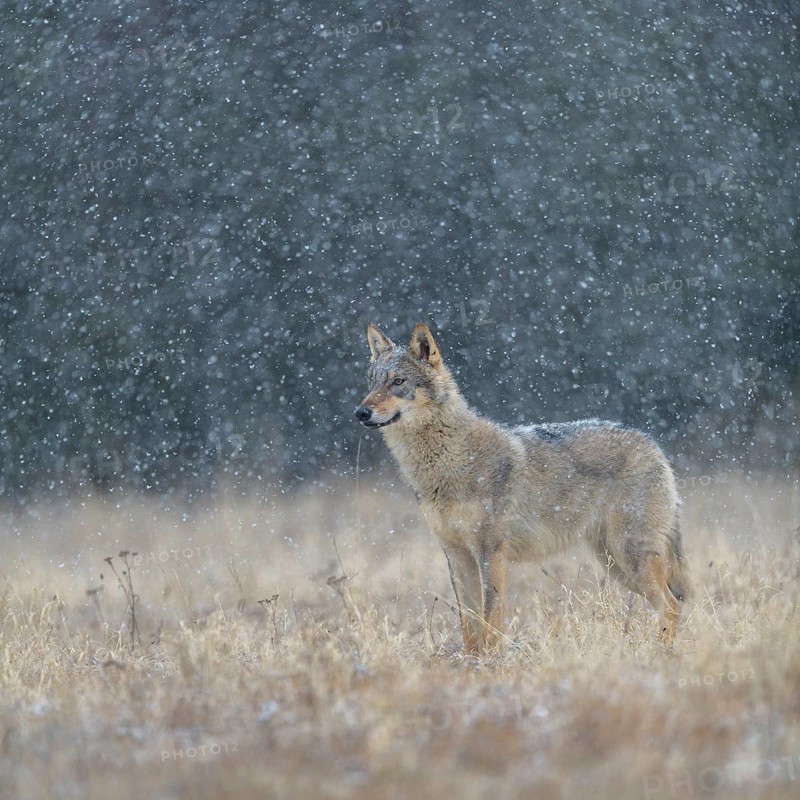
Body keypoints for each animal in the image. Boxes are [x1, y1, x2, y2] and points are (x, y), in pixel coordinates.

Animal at [354, 322, 690, 654]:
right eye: (371, 384)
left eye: (398, 382)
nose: (360, 413)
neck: (449, 460)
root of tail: (653, 444)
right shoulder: (456, 556)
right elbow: (470, 625)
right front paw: (471, 662)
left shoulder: (491, 553)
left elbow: (491, 620)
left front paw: (492, 660)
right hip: (615, 564)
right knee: (670, 602)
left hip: (630, 557)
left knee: (672, 604)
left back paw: (659, 653)